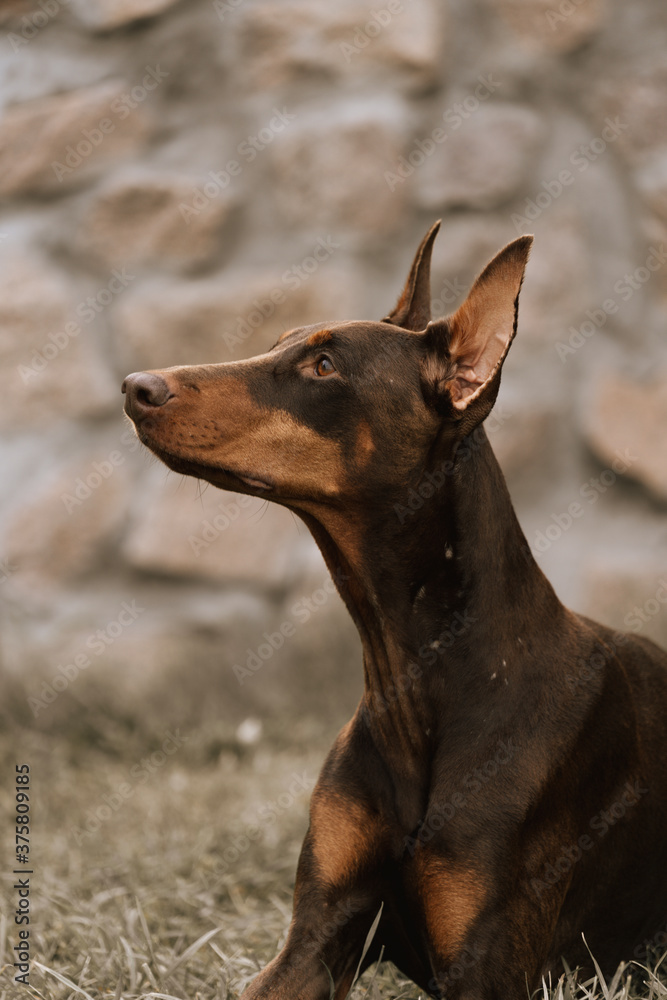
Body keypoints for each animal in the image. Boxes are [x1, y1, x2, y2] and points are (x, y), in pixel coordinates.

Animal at [121, 221, 667, 1000]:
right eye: (281, 341)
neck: (417, 677)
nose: (136, 386)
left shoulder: (486, 964)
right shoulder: (311, 941)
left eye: (323, 365)